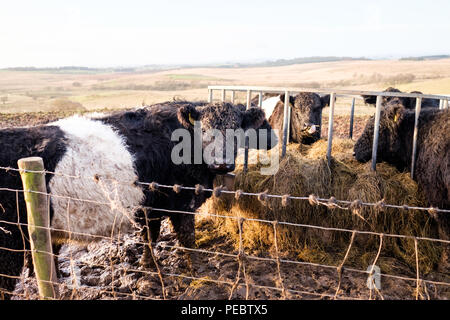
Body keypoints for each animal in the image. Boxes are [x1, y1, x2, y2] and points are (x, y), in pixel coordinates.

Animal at [0, 100, 274, 298]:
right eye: (203, 130)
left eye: (237, 131)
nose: (222, 164)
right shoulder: (182, 203)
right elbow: (187, 238)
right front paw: (197, 270)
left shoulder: (149, 204)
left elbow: (150, 235)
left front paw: (148, 265)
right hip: (9, 241)